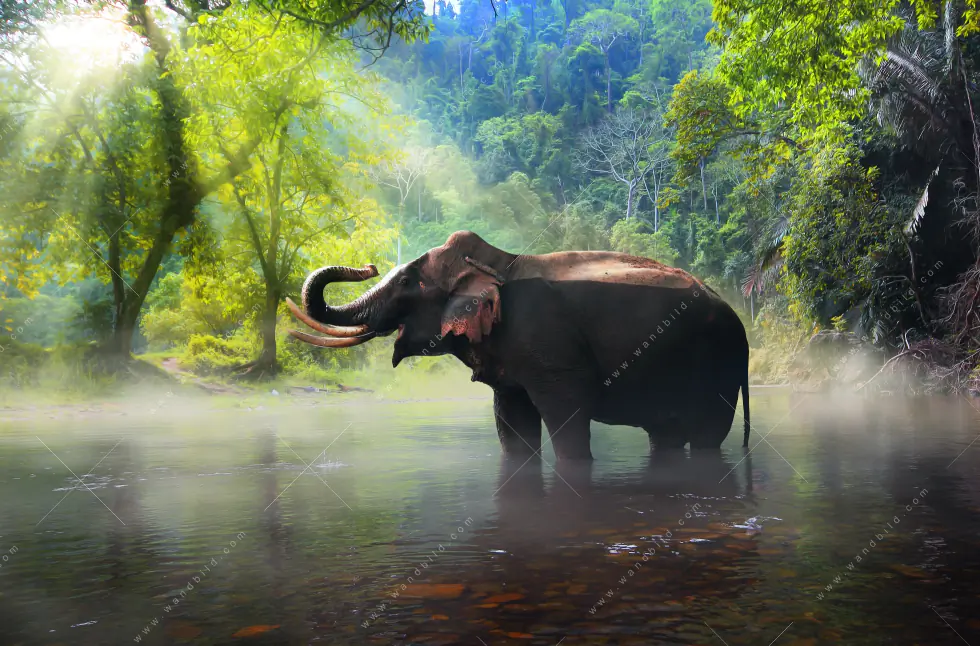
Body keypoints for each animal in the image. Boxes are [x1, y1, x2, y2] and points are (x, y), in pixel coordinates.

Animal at [287, 231, 750, 460]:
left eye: (405, 282)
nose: (368, 265)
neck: (498, 263)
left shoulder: (553, 351)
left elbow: (567, 417)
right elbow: (511, 422)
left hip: (720, 364)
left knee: (707, 436)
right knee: (665, 435)